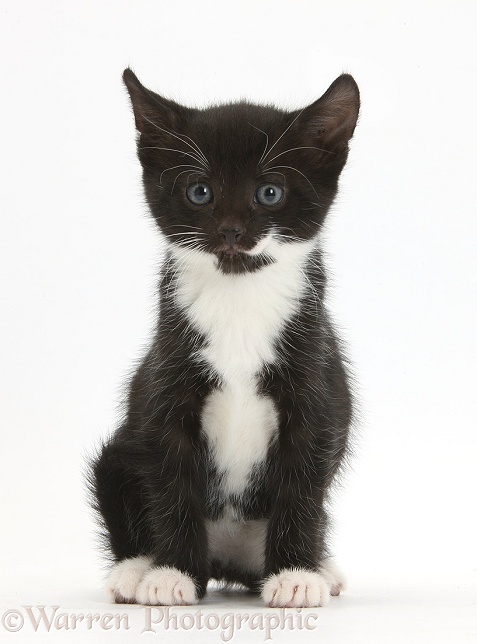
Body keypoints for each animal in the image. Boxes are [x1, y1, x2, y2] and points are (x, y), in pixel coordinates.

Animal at [89, 68, 358, 608]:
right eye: (200, 192)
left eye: (269, 193)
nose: (232, 231)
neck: (239, 302)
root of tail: (226, 562)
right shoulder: (165, 385)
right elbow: (171, 481)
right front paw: (172, 573)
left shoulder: (316, 385)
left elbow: (303, 483)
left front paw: (295, 574)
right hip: (116, 456)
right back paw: (135, 570)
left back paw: (321, 566)